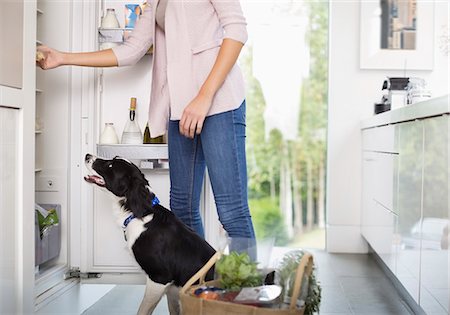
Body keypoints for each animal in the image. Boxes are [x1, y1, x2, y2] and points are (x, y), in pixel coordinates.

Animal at [86, 154, 218, 314]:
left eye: (111, 165)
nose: (87, 155)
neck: (140, 214)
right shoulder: (171, 291)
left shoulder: (159, 278)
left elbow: (143, 310)